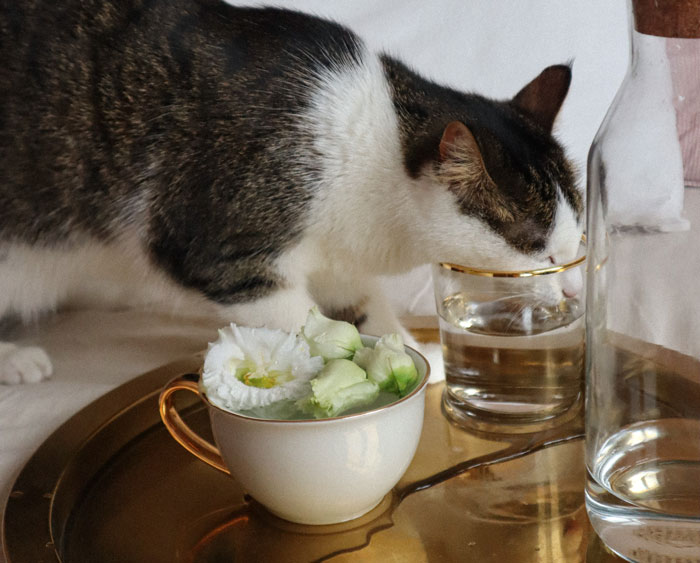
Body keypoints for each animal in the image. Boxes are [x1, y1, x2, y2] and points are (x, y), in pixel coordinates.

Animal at [0, 0, 584, 386]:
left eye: (576, 244)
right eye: (539, 251)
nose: (571, 292)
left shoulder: (340, 257)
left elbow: (359, 306)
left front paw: (410, 353)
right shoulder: (219, 246)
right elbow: (300, 319)